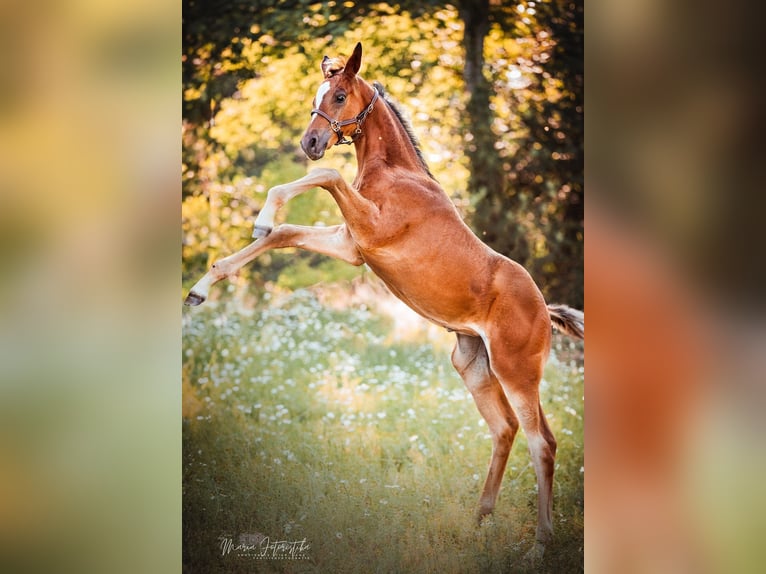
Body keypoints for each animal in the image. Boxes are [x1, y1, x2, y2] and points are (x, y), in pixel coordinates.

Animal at [184, 44, 584, 560]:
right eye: (316, 95)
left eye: (338, 95)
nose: (310, 141)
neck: (396, 174)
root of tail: (543, 309)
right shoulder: (352, 244)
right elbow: (284, 233)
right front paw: (204, 284)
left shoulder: (367, 232)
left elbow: (325, 175)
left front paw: (261, 216)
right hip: (474, 367)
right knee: (505, 430)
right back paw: (479, 520)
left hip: (518, 372)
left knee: (543, 444)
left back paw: (538, 545)